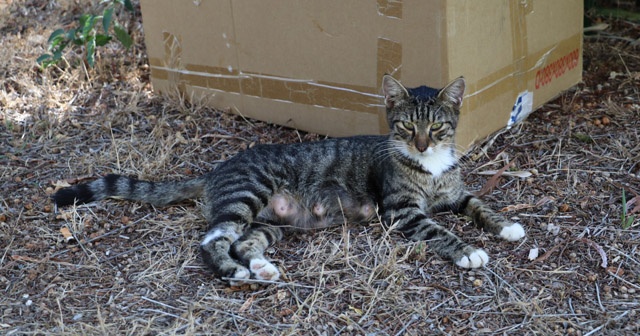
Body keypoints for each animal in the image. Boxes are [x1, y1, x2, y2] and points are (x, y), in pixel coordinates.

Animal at [53, 76, 524, 284]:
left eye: (437, 128)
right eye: (408, 127)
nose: (423, 145)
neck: (431, 168)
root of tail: (216, 170)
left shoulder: (456, 193)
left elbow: (479, 205)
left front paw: (508, 227)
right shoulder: (401, 210)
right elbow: (438, 228)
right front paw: (468, 252)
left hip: (270, 223)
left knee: (243, 241)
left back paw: (260, 266)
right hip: (247, 193)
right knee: (212, 241)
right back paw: (235, 272)